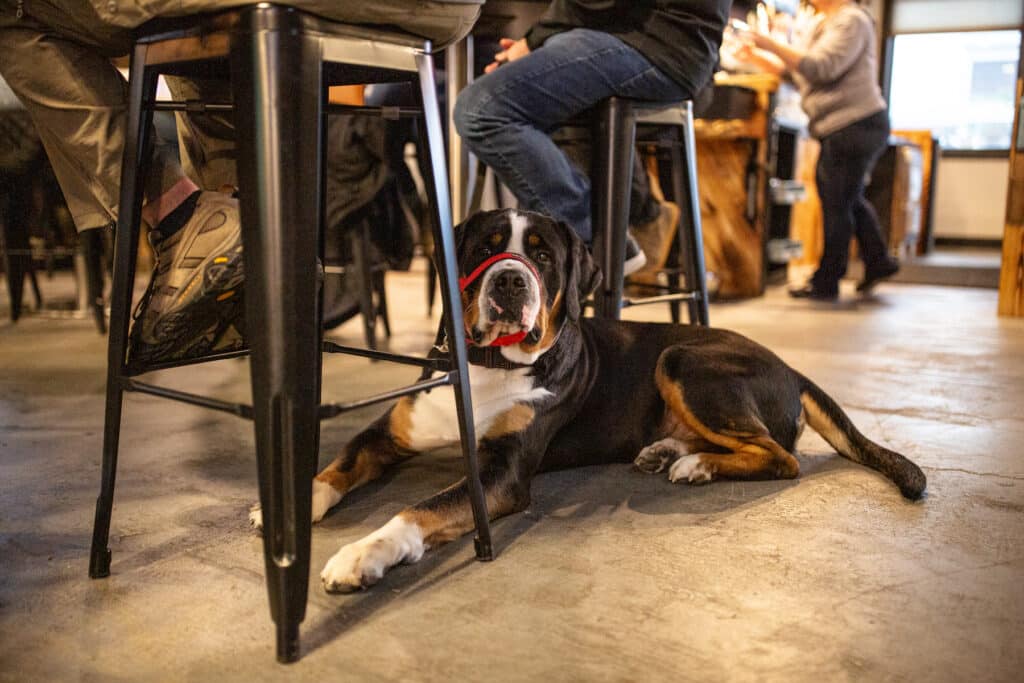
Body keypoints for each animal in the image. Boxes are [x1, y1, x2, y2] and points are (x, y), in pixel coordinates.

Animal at [249, 206, 929, 593]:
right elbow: (339, 464)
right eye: (483, 248)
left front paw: (363, 554)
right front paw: (294, 505)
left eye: (543, 257)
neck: (486, 366)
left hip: (683, 360)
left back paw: (696, 464)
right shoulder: (390, 430)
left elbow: (416, 511)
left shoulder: (501, 473)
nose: (510, 281)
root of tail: (791, 366)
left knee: (780, 456)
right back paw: (667, 453)